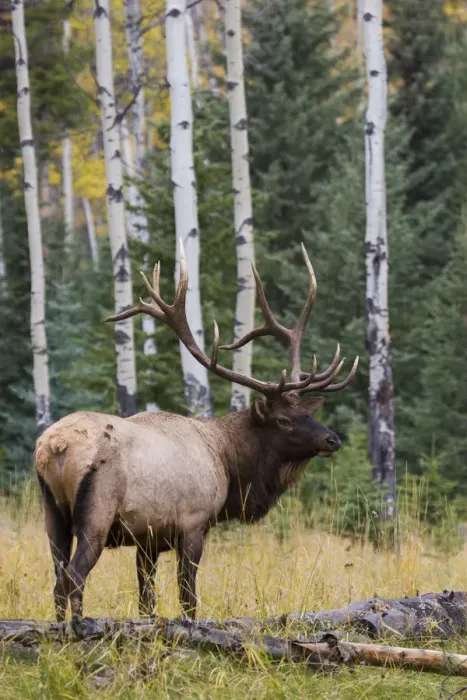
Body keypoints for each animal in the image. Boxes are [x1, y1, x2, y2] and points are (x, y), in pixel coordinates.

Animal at [35, 244, 358, 622]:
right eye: (283, 419)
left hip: (52, 514)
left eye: (305, 412)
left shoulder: (148, 538)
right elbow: (188, 598)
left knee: (57, 579)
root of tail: (54, 446)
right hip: (96, 513)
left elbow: (147, 600)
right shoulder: (193, 523)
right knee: (74, 576)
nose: (332, 439)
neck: (228, 464)